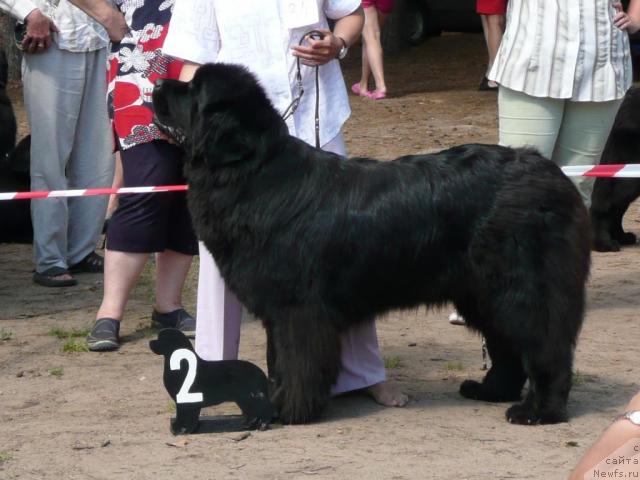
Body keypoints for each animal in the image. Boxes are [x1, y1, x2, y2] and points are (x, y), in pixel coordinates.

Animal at [152, 62, 592, 424]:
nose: (156, 82)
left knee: (546, 345)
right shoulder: (281, 310)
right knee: (506, 346)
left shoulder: (298, 308)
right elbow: (278, 359)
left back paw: (539, 411)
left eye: (193, 90)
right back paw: (491, 391)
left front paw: (288, 410)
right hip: (482, 293)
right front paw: (278, 402)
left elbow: (296, 360)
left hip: (520, 289)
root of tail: (552, 173)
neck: (254, 174)